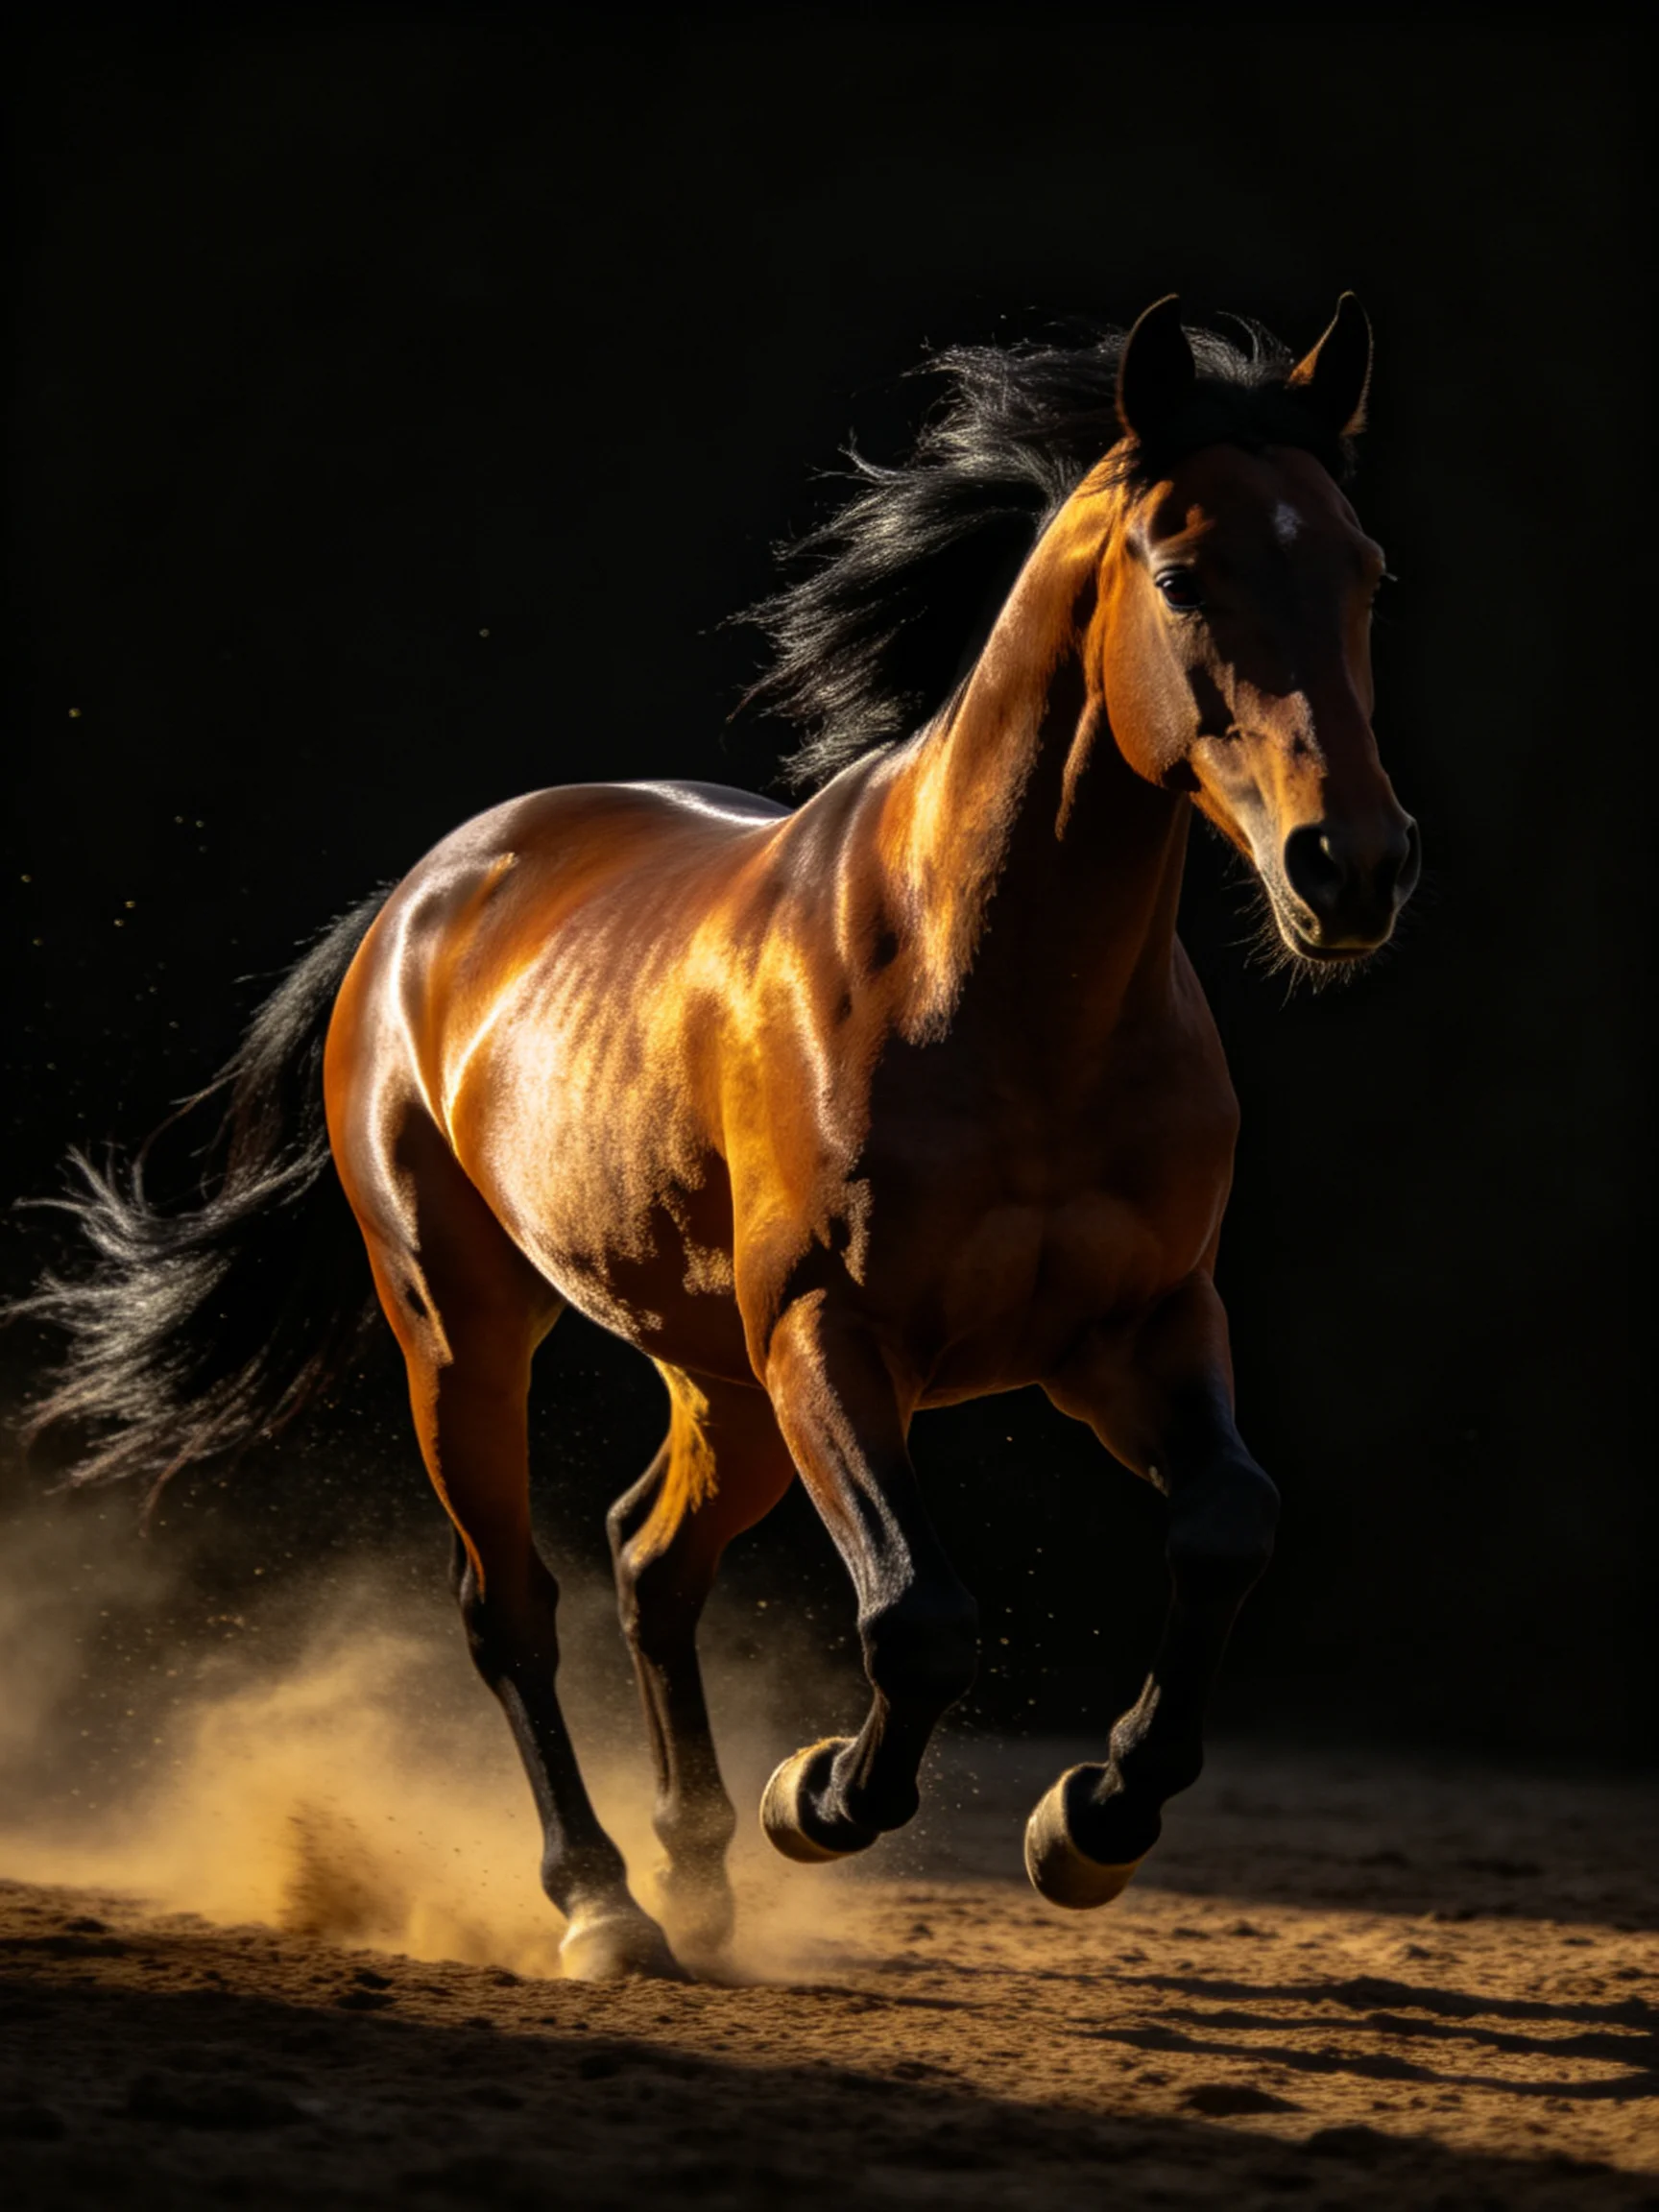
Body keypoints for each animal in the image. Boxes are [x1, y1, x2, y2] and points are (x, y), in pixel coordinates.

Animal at [18, 295, 1418, 1980]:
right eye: (1183, 572)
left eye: (1364, 569)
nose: (1352, 867)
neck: (998, 996)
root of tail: (422, 896)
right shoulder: (830, 1333)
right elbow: (917, 1615)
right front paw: (817, 1797)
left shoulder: (1139, 1332)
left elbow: (1225, 1528)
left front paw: (1091, 1822)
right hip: (468, 1333)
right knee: (513, 1603)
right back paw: (607, 1902)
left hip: (722, 1380)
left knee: (647, 1556)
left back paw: (690, 1875)